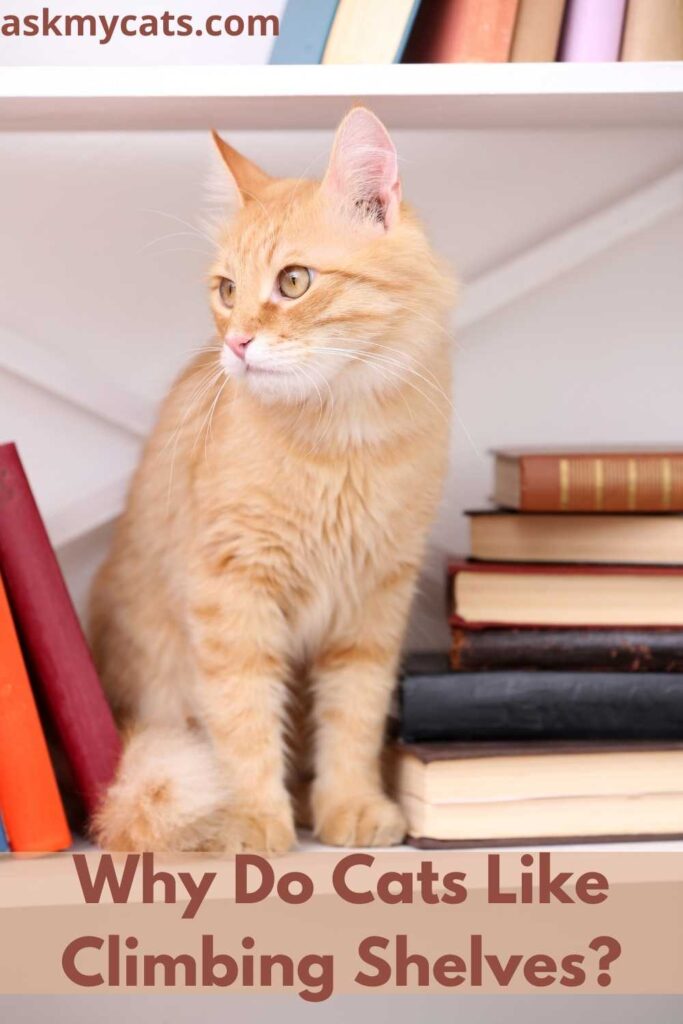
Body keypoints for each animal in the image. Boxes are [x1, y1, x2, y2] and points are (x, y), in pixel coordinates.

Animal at [89, 108, 454, 851]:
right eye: (227, 292)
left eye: (292, 282)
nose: (236, 344)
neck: (340, 444)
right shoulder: (232, 593)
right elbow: (244, 722)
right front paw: (253, 820)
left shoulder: (373, 602)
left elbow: (353, 716)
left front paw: (349, 804)